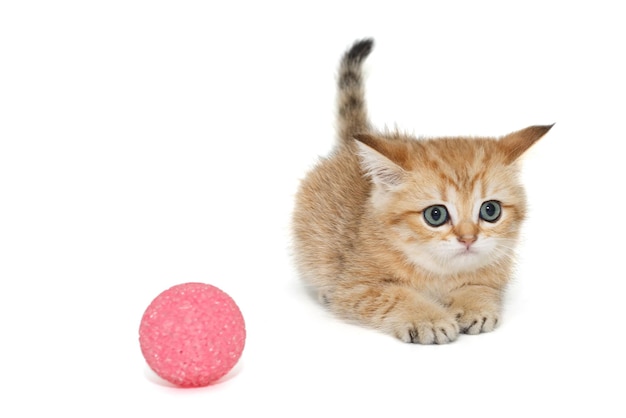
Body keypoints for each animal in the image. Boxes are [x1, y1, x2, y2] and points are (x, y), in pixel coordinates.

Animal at [290, 38, 548, 342]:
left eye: (490, 210)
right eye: (435, 215)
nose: (468, 238)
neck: (440, 272)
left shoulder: (493, 271)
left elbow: (480, 287)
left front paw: (474, 305)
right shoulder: (356, 287)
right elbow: (396, 296)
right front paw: (429, 318)